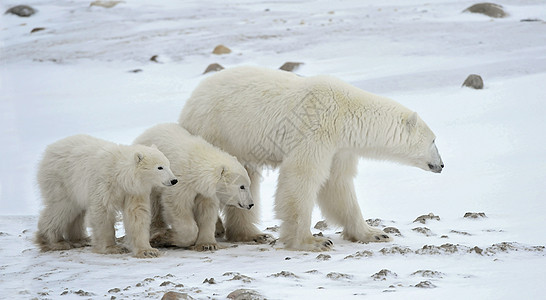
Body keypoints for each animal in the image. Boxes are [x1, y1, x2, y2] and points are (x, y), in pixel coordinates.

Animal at [178, 67, 442, 252]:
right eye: (433, 140)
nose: (441, 165)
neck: (347, 114)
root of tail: (190, 100)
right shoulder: (316, 131)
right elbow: (301, 178)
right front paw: (312, 241)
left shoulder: (339, 148)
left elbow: (337, 185)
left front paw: (374, 233)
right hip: (218, 131)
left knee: (245, 178)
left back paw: (251, 234)